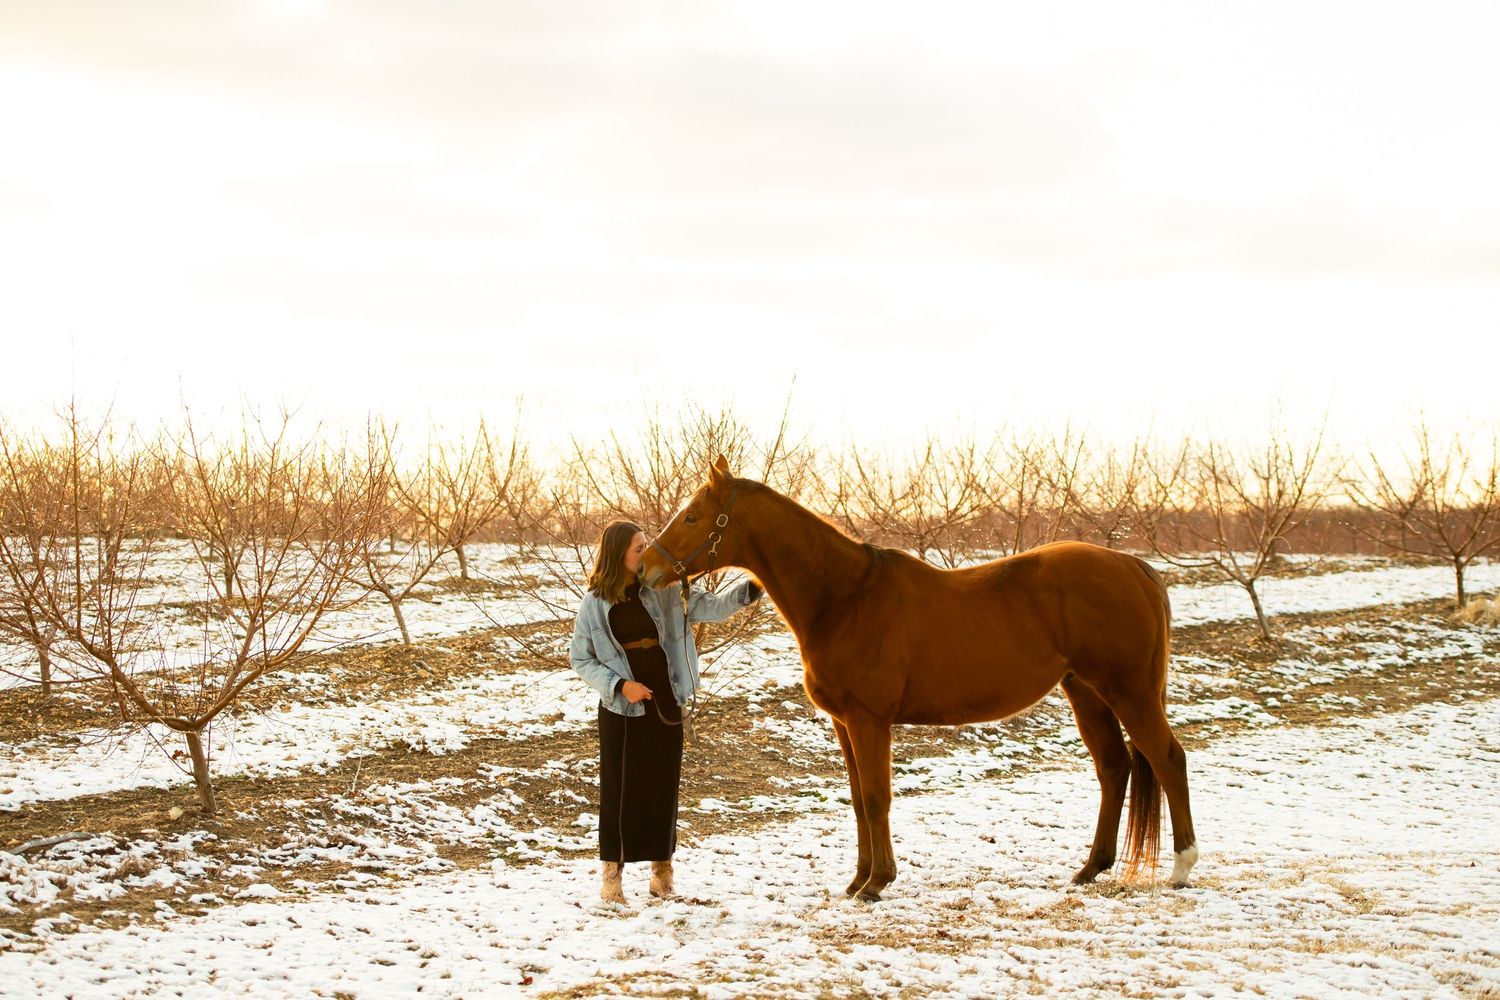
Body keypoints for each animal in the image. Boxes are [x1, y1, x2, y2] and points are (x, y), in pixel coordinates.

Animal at [639, 455, 1197, 901]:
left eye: (692, 516)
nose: (644, 568)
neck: (845, 598)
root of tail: (1133, 566)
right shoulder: (844, 724)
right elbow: (858, 799)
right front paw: (857, 880)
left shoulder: (869, 721)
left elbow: (876, 797)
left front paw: (877, 883)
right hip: (1086, 692)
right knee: (1114, 768)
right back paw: (1090, 869)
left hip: (1129, 693)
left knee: (1167, 759)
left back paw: (1182, 868)